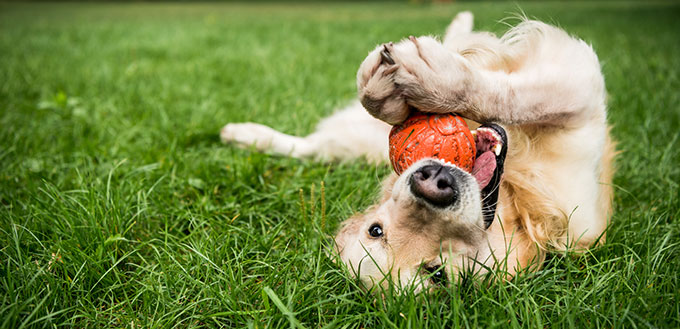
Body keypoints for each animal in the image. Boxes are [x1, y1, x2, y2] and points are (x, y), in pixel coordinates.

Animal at [220, 11, 612, 290]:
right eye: (377, 230)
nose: (433, 182)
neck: (514, 199)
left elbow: (514, 95)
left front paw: (429, 82)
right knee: (312, 147)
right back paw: (243, 135)